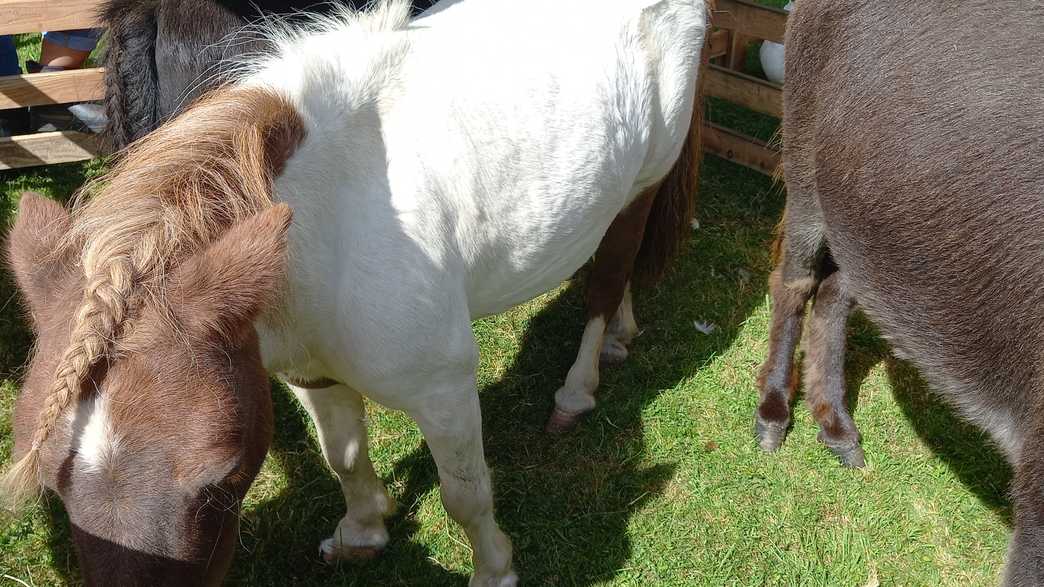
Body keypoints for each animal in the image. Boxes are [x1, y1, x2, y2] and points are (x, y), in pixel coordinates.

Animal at [2, 2, 709, 580]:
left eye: (223, 482)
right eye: (54, 490)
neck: (326, 227)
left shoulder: (444, 390)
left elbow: (465, 493)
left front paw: (494, 569)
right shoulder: (306, 368)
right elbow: (341, 454)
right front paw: (363, 532)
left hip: (643, 183)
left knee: (611, 270)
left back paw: (579, 385)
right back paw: (621, 333)